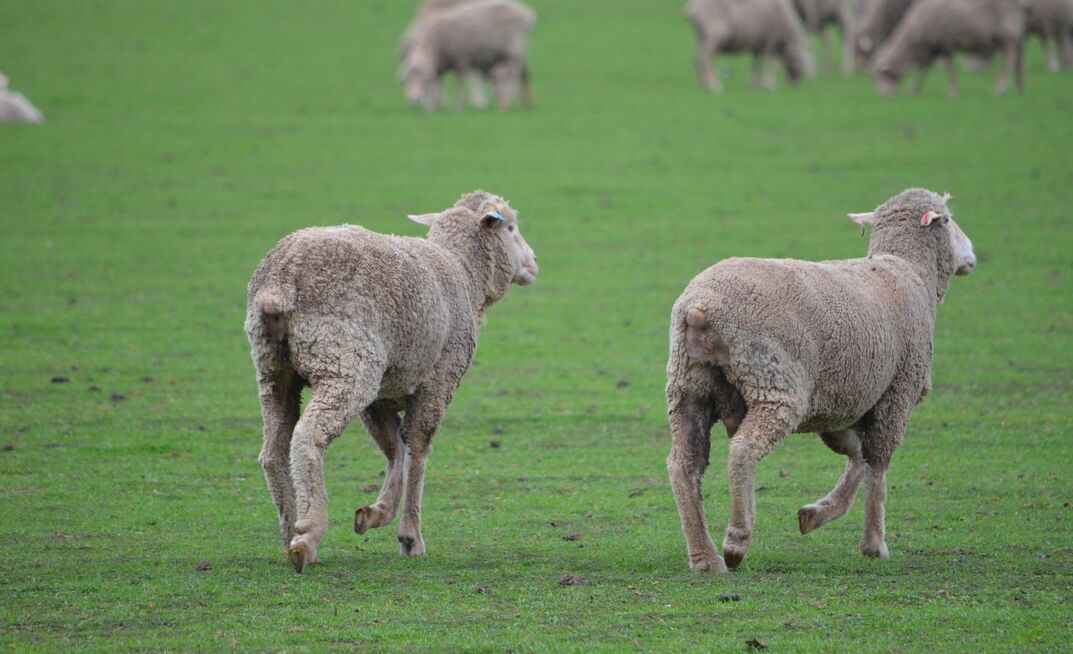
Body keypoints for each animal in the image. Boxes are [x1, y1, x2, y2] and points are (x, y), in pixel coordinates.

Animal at [245, 190, 538, 573]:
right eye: (512, 227)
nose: (533, 263)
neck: (463, 273)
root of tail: (280, 282)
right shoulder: (438, 380)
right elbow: (418, 449)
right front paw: (411, 537)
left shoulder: (382, 395)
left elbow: (396, 449)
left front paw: (376, 513)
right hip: (347, 363)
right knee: (308, 437)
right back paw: (308, 535)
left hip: (274, 371)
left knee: (273, 452)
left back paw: (290, 533)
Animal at [401, 0, 536, 112]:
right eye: (408, 80)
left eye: (423, 80)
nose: (414, 99)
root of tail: (526, 13)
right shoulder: (439, 66)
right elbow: (437, 84)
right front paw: (433, 107)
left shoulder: (461, 59)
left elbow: (460, 83)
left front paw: (459, 107)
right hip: (514, 52)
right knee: (525, 73)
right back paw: (527, 103)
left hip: (514, 51)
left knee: (514, 75)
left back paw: (506, 104)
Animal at [666, 188, 975, 573]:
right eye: (948, 219)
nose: (971, 253)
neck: (907, 270)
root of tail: (700, 307)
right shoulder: (896, 394)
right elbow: (878, 466)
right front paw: (874, 543)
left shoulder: (843, 402)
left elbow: (857, 456)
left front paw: (818, 513)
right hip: (775, 385)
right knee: (743, 449)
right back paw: (736, 540)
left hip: (688, 389)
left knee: (684, 466)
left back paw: (705, 558)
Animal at [685, 0, 816, 92]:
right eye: (799, 63)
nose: (794, 86)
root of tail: (693, 8)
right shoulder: (771, 41)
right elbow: (769, 62)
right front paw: (769, 84)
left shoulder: (758, 44)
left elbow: (756, 63)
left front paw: (755, 84)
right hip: (713, 34)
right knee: (705, 58)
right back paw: (714, 85)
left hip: (702, 36)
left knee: (698, 58)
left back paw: (703, 83)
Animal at [871, 0, 1027, 97]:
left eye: (883, 75)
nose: (883, 96)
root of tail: (1019, 5)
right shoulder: (932, 48)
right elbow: (923, 70)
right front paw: (914, 90)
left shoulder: (944, 44)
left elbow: (949, 68)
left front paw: (953, 92)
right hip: (1013, 35)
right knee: (1019, 60)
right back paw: (1019, 88)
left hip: (1007, 35)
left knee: (1009, 60)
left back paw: (999, 89)